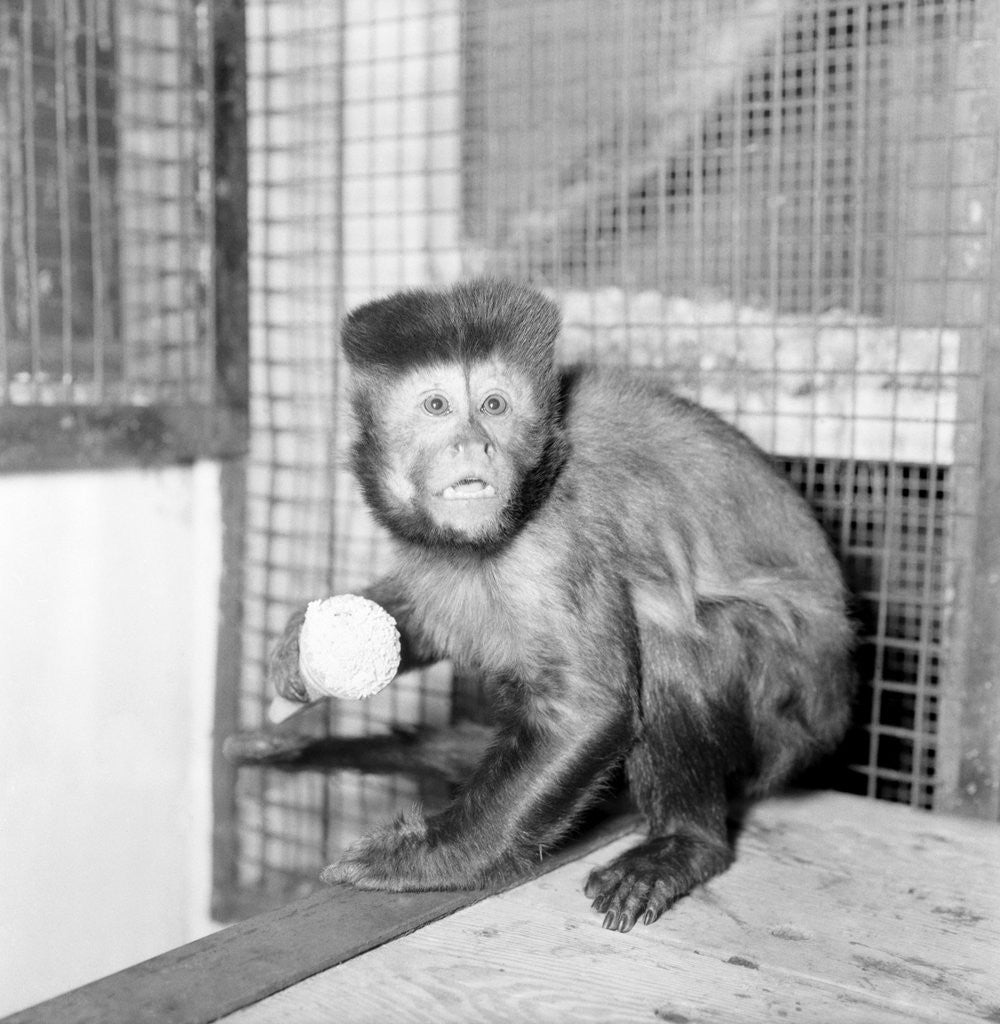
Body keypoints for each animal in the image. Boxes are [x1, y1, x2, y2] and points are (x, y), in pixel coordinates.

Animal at [268, 278, 856, 932]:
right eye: (437, 406)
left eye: (494, 406)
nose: (474, 444)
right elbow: (428, 616)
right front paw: (301, 643)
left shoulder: (557, 536)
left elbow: (587, 710)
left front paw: (427, 859)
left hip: (784, 720)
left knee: (671, 633)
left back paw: (686, 842)